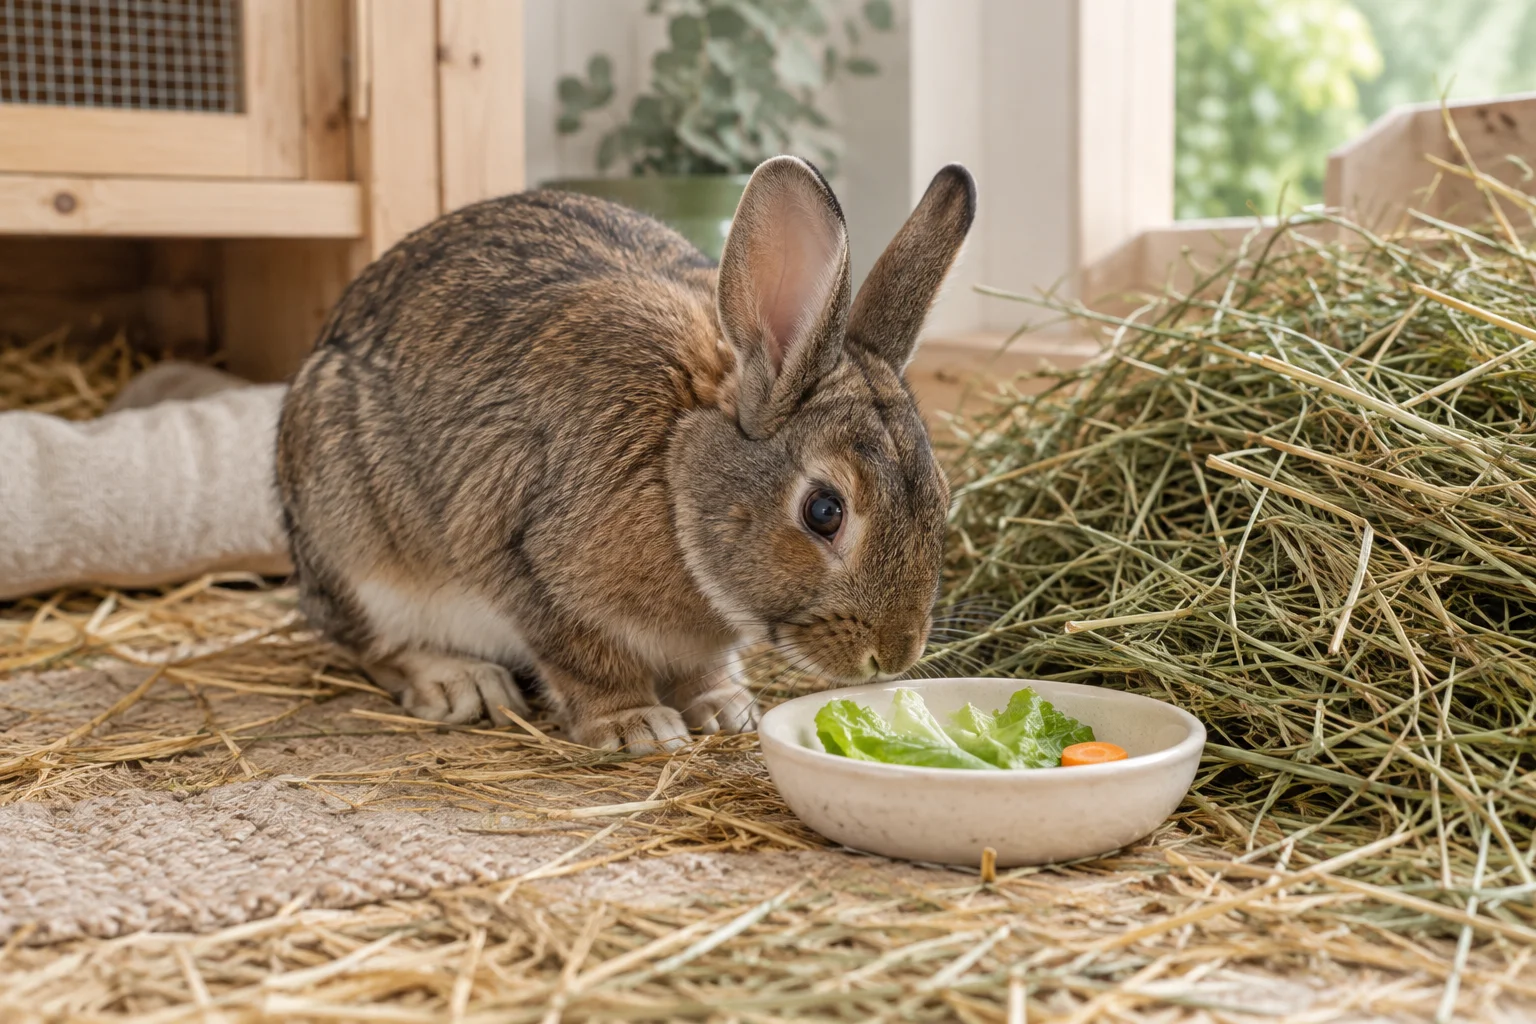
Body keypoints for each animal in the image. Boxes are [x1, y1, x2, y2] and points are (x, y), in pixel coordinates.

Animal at [276, 156, 976, 752]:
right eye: (824, 512)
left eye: (941, 496)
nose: (895, 653)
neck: (675, 478)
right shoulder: (520, 553)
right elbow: (586, 659)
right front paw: (635, 726)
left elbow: (702, 668)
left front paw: (725, 709)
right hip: (355, 541)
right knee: (373, 645)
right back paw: (458, 683)